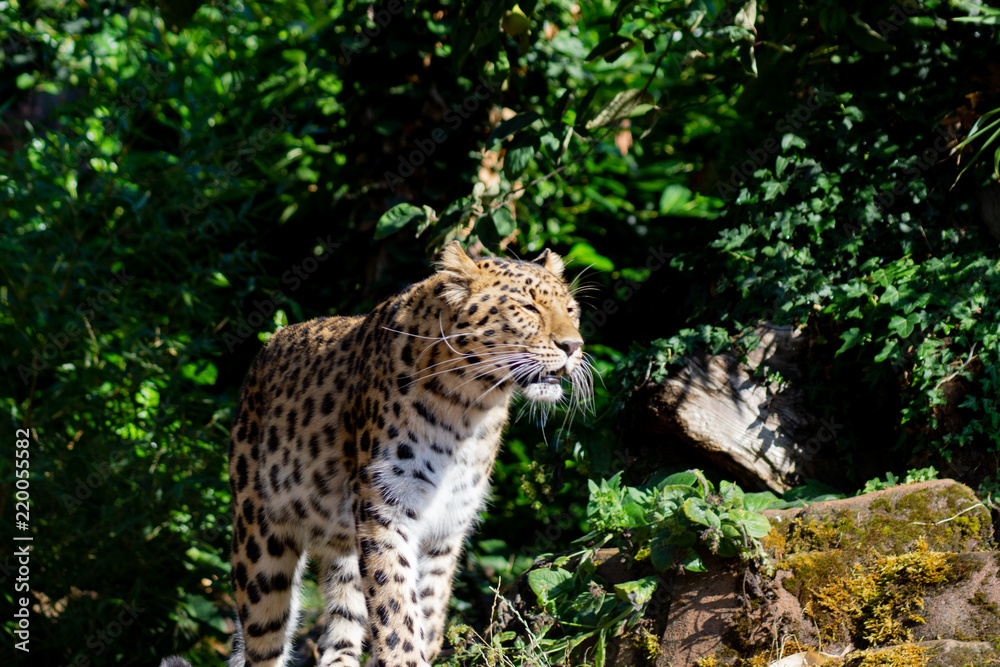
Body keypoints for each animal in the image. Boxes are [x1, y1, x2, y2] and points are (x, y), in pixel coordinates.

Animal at [161, 242, 591, 667]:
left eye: (571, 310)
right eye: (527, 307)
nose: (574, 346)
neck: (470, 409)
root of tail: (266, 351)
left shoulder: (446, 529)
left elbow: (427, 611)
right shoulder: (385, 509)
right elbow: (396, 608)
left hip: (344, 549)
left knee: (341, 634)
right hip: (260, 544)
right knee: (264, 639)